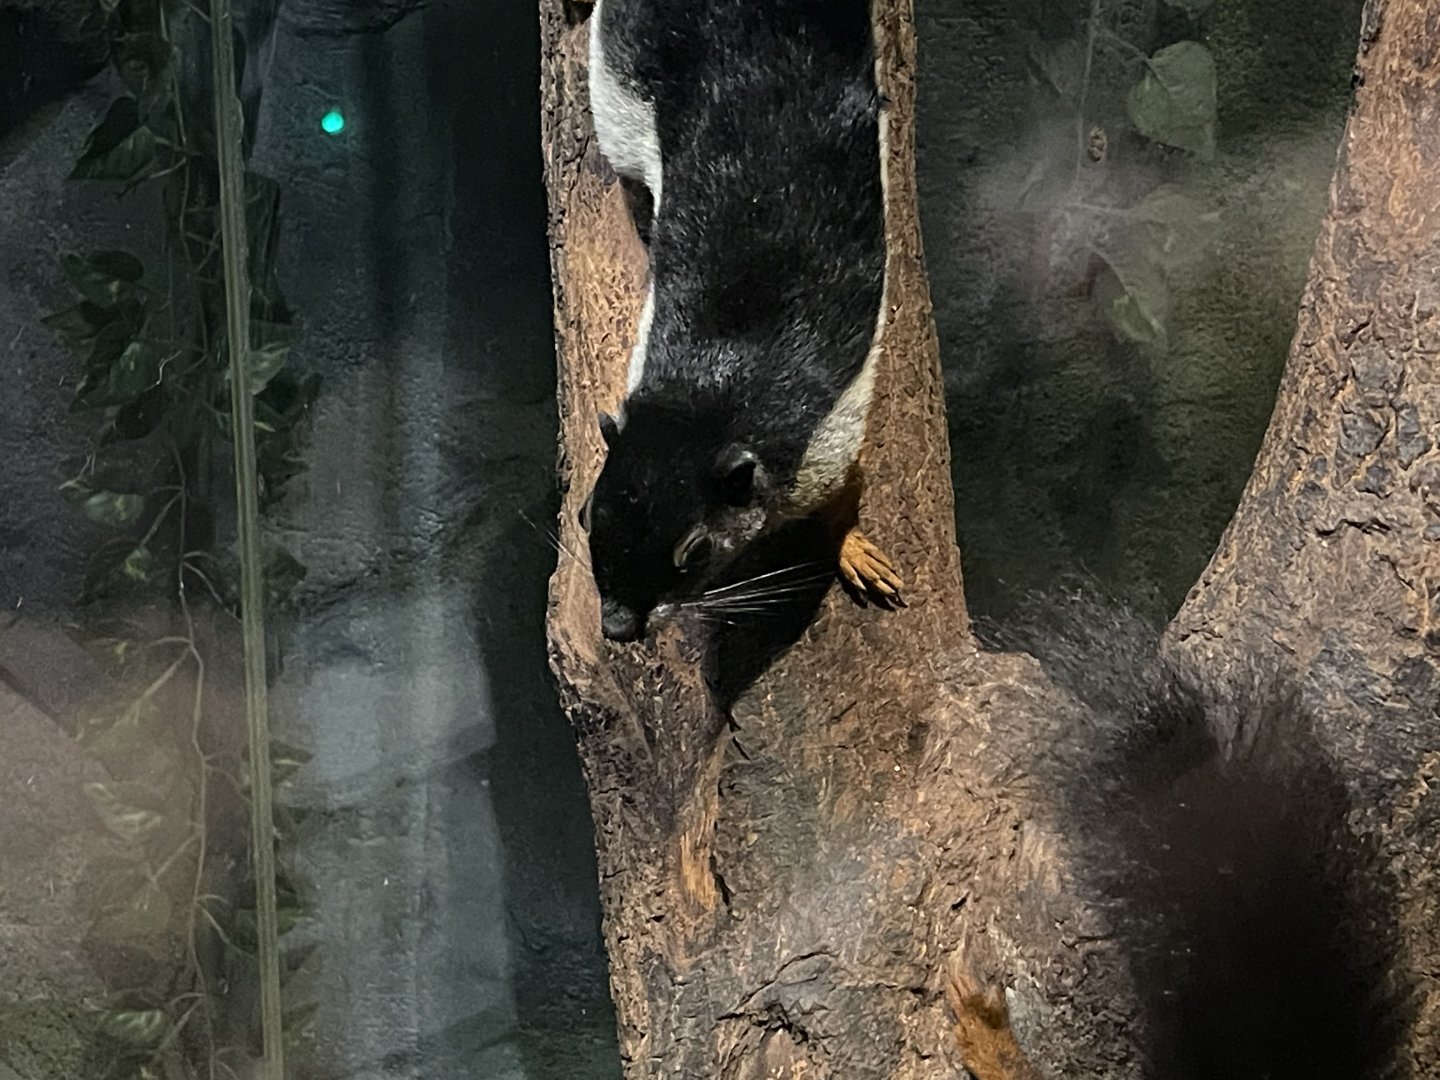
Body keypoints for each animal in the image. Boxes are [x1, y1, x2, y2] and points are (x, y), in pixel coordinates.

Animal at [581, 0, 904, 642]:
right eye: (585, 517)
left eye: (696, 552)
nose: (620, 627)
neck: (710, 393)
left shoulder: (829, 441)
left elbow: (844, 494)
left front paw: (853, 549)